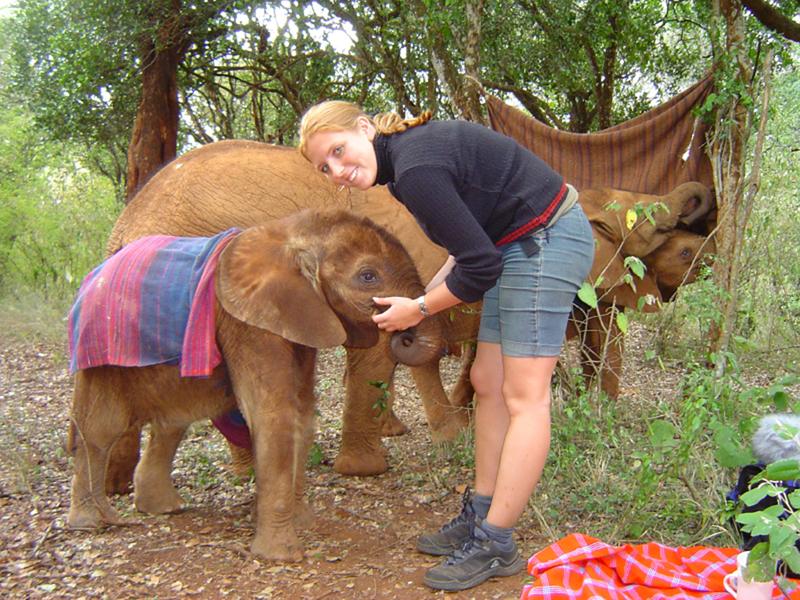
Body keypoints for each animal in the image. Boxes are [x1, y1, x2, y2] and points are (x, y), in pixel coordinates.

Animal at [66, 209, 444, 560]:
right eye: (368, 276)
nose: (402, 330)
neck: (292, 233)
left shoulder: (298, 317)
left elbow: (302, 411)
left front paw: (303, 521)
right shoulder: (247, 322)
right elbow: (274, 413)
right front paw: (283, 556)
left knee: (172, 420)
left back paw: (162, 508)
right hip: (100, 347)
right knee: (102, 427)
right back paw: (92, 522)